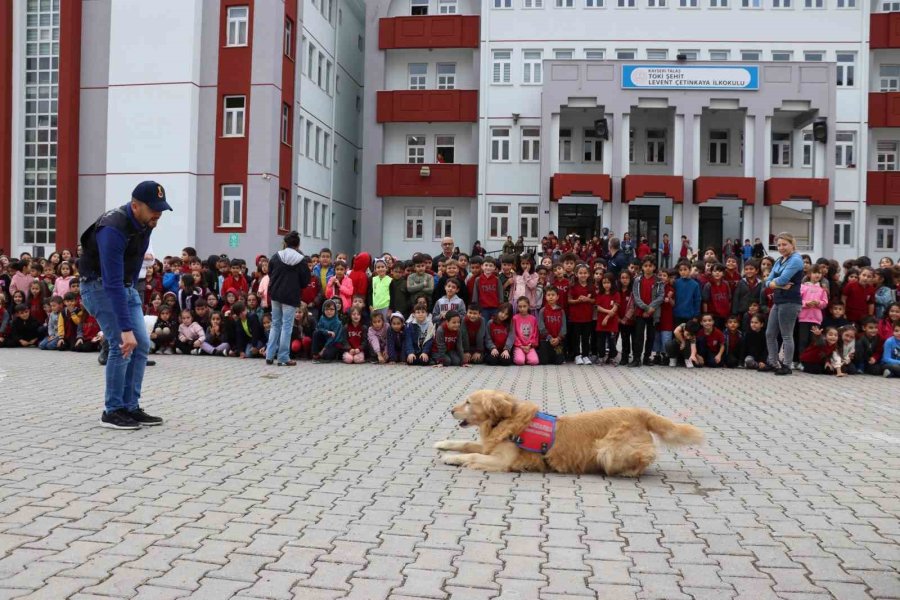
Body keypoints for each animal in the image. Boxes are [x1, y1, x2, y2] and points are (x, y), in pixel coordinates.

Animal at [434, 390, 704, 478]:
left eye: (468, 402)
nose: (450, 410)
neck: (504, 420)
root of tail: (641, 412)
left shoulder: (503, 460)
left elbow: (472, 456)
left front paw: (451, 459)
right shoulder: (490, 444)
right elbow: (465, 444)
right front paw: (442, 443)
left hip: (606, 450)